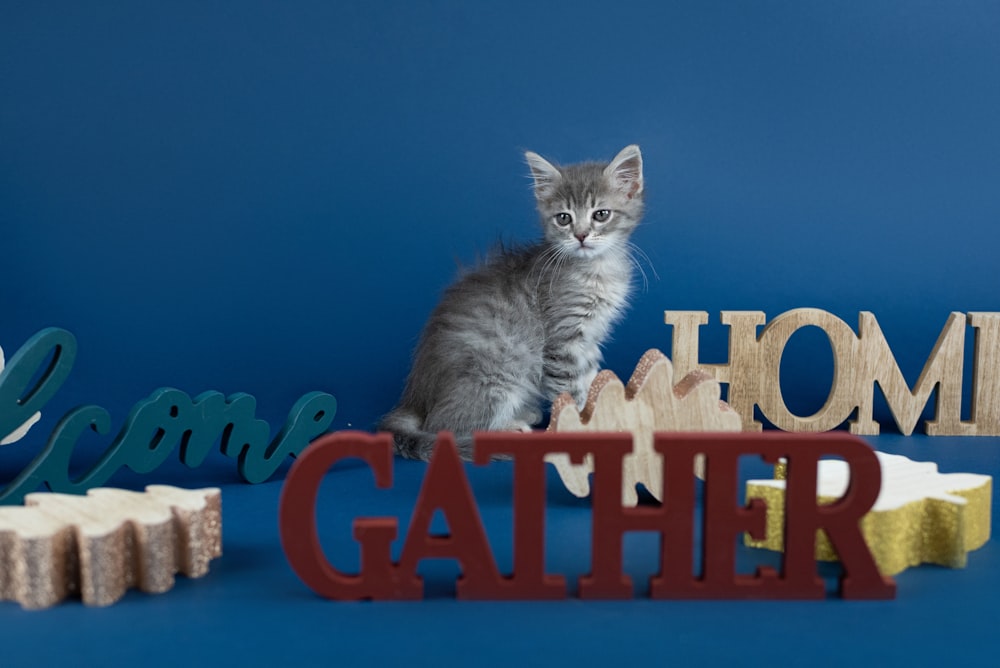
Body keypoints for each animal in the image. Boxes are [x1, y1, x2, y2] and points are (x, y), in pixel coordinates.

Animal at [378, 145, 644, 460]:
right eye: (563, 218)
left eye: (601, 214)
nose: (581, 236)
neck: (596, 270)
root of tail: (414, 397)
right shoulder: (562, 341)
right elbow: (571, 389)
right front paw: (585, 426)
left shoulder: (589, 340)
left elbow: (590, 380)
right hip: (497, 371)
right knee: (444, 425)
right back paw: (507, 428)